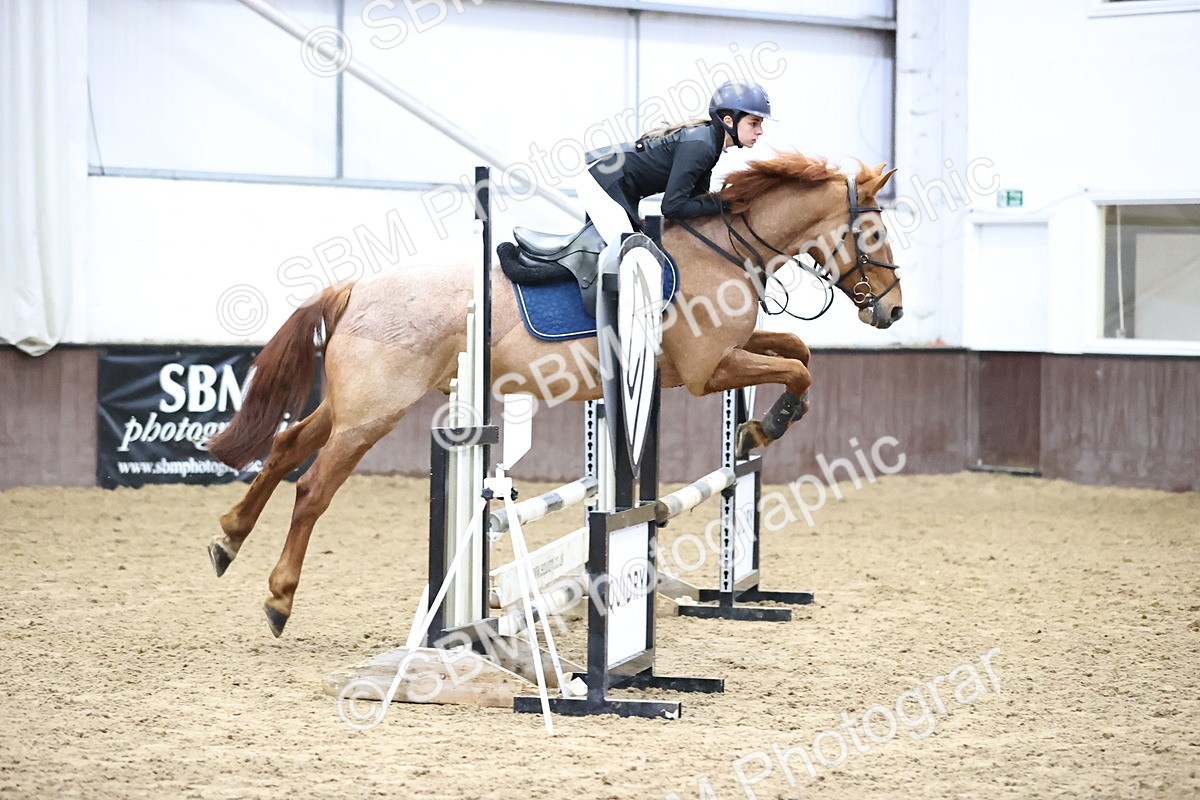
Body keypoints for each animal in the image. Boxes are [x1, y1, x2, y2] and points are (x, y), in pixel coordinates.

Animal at [205, 153, 903, 636]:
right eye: (871, 235)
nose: (892, 311)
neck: (722, 249)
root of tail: (357, 286)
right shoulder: (709, 371)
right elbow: (797, 370)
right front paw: (767, 425)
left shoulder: (723, 356)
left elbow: (798, 352)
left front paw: (762, 425)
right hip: (373, 412)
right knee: (312, 488)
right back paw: (278, 597)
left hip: (352, 406)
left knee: (287, 446)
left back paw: (228, 539)